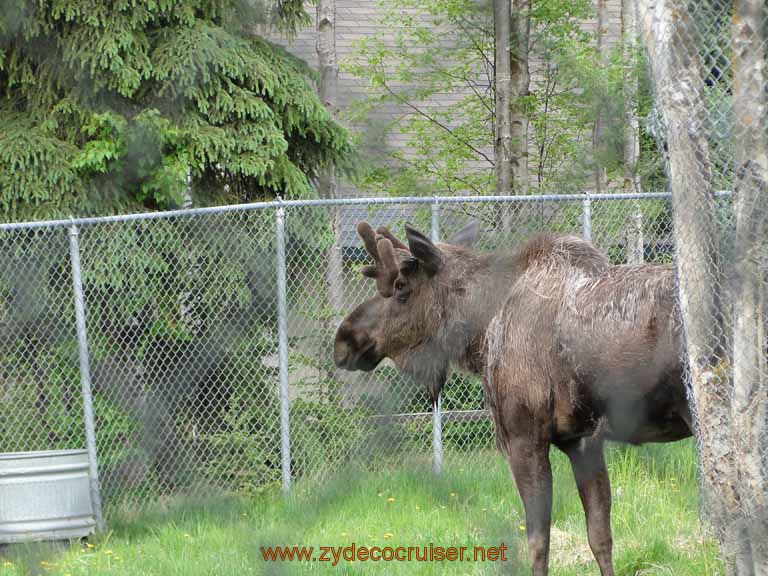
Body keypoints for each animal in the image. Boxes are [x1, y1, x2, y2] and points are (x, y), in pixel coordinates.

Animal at [332, 222, 692, 576]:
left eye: (401, 286)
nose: (344, 339)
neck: (481, 331)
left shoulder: (523, 437)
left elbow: (537, 543)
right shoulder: (583, 441)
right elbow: (600, 536)